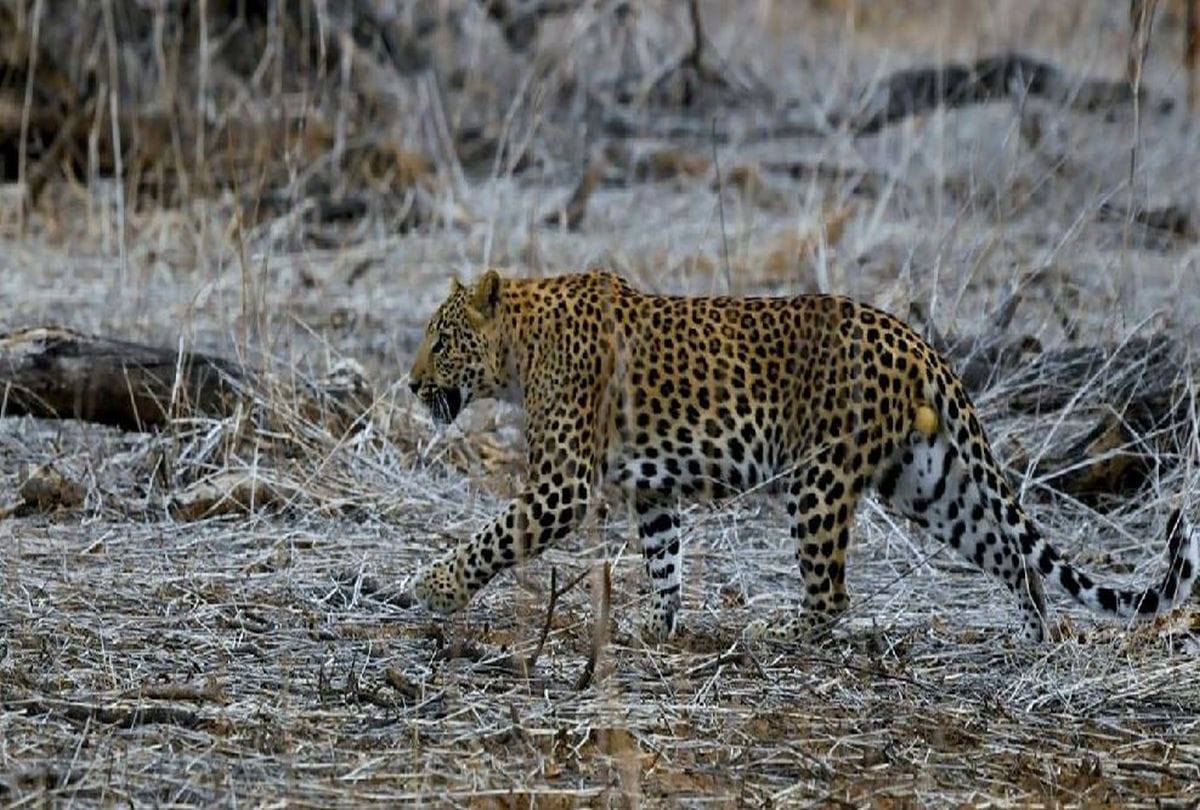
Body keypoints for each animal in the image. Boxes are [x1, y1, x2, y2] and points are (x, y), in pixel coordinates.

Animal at [406, 269, 1198, 643]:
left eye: (441, 339)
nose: (411, 384)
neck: (517, 350)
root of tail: (914, 339)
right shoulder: (652, 490)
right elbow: (663, 559)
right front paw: (658, 626)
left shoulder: (563, 485)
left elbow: (494, 535)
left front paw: (435, 587)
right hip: (925, 478)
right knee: (1009, 553)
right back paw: (1036, 640)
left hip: (819, 477)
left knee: (832, 593)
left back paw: (779, 631)